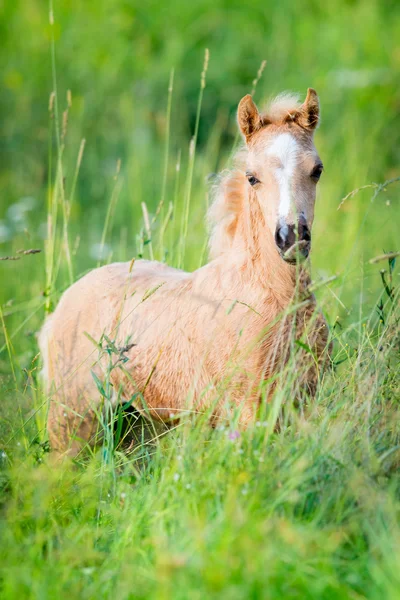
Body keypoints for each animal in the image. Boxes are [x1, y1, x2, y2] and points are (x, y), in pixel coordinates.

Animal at [39, 88, 330, 454]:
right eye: (252, 177)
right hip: (71, 427)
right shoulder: (250, 412)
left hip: (133, 428)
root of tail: (57, 312)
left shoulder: (302, 403)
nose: (290, 238)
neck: (272, 297)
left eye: (317, 170)